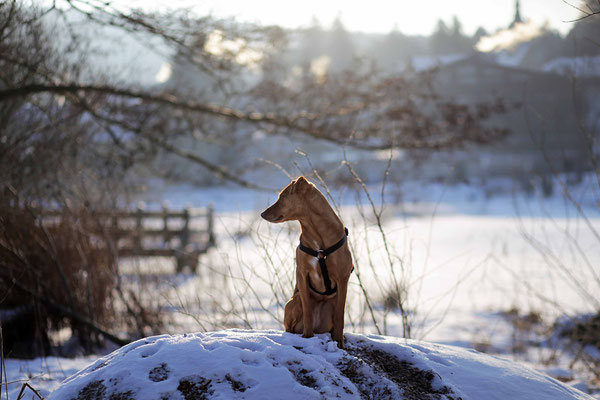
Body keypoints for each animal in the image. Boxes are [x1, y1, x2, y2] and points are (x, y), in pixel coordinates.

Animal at [262, 177, 354, 348]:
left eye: (282, 197)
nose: (262, 214)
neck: (316, 231)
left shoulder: (342, 278)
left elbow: (340, 315)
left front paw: (339, 342)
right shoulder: (302, 274)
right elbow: (308, 312)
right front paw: (307, 337)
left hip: (330, 304)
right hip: (294, 301)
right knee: (292, 326)